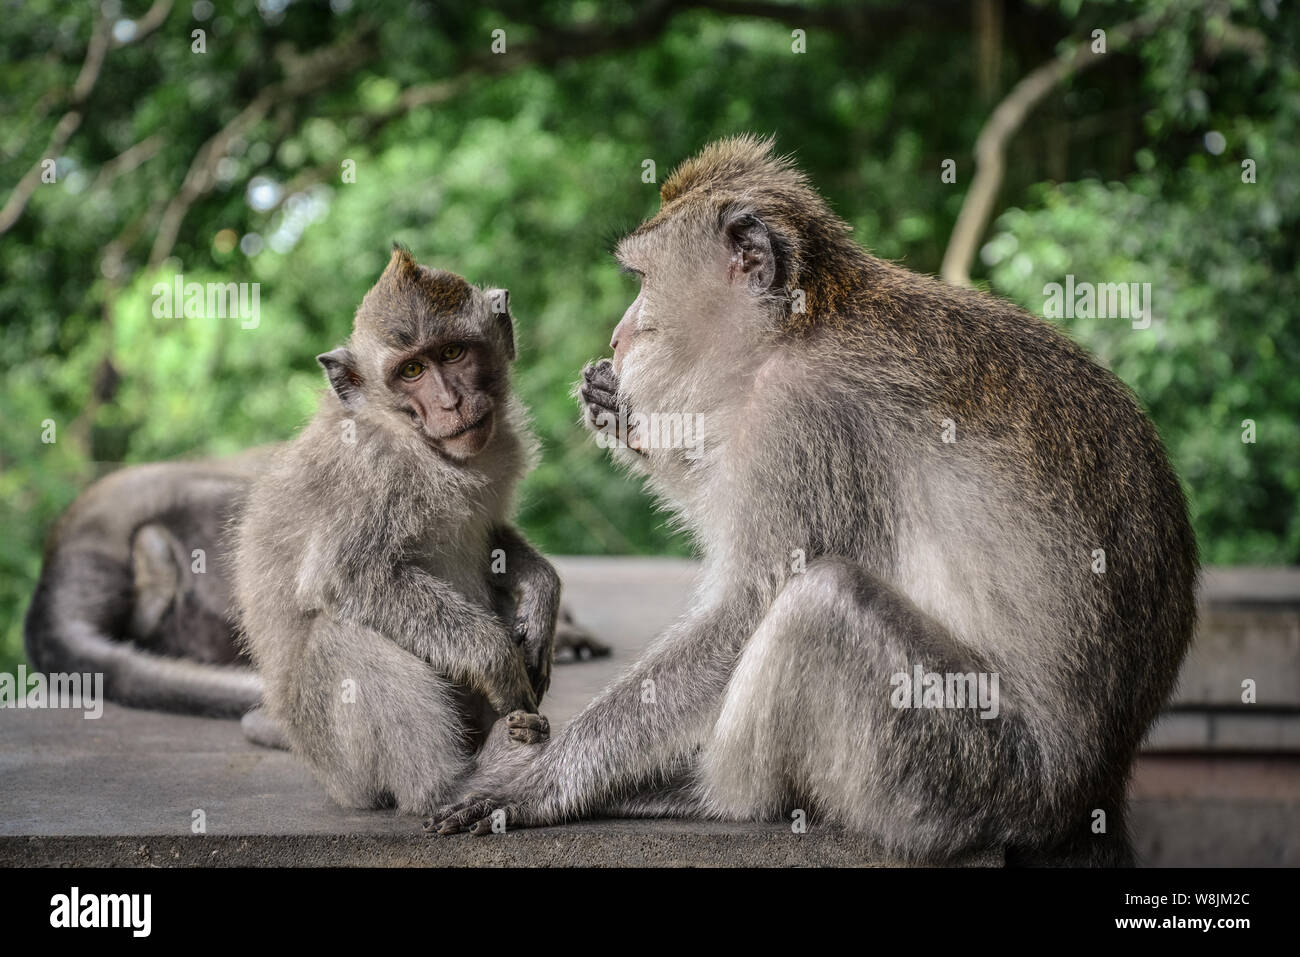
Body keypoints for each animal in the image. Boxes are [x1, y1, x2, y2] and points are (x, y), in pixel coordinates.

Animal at [233, 248, 559, 816]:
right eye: (411, 370)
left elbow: (491, 537)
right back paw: (451, 783)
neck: (416, 440)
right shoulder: (373, 472)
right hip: (339, 762)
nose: (451, 403)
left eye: (452, 353)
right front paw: (495, 655)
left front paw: (541, 595)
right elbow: (346, 577)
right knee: (342, 636)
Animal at [431, 136, 1201, 868]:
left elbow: (747, 607)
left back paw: (712, 796)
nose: (620, 337)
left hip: (968, 774)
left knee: (821, 605)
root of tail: (1094, 788)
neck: (797, 328)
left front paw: (543, 782)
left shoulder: (802, 420)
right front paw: (621, 415)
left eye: (643, 284)